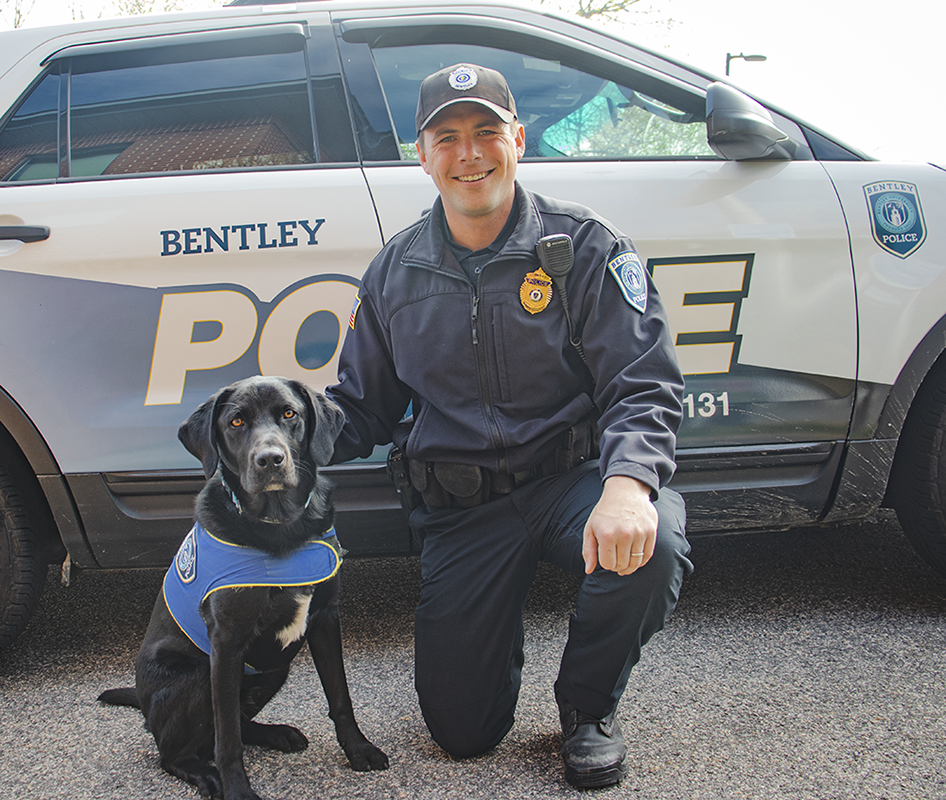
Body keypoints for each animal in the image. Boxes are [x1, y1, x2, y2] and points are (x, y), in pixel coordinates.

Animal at [99, 376, 388, 800]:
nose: (270, 459)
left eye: (289, 413)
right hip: (198, 676)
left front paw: (358, 749)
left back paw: (277, 734)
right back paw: (208, 774)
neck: (281, 524)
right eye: (236, 422)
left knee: (233, 724)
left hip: (273, 668)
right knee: (177, 752)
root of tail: (145, 704)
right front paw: (237, 788)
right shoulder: (227, 643)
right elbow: (227, 737)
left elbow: (340, 696)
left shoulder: (324, 619)